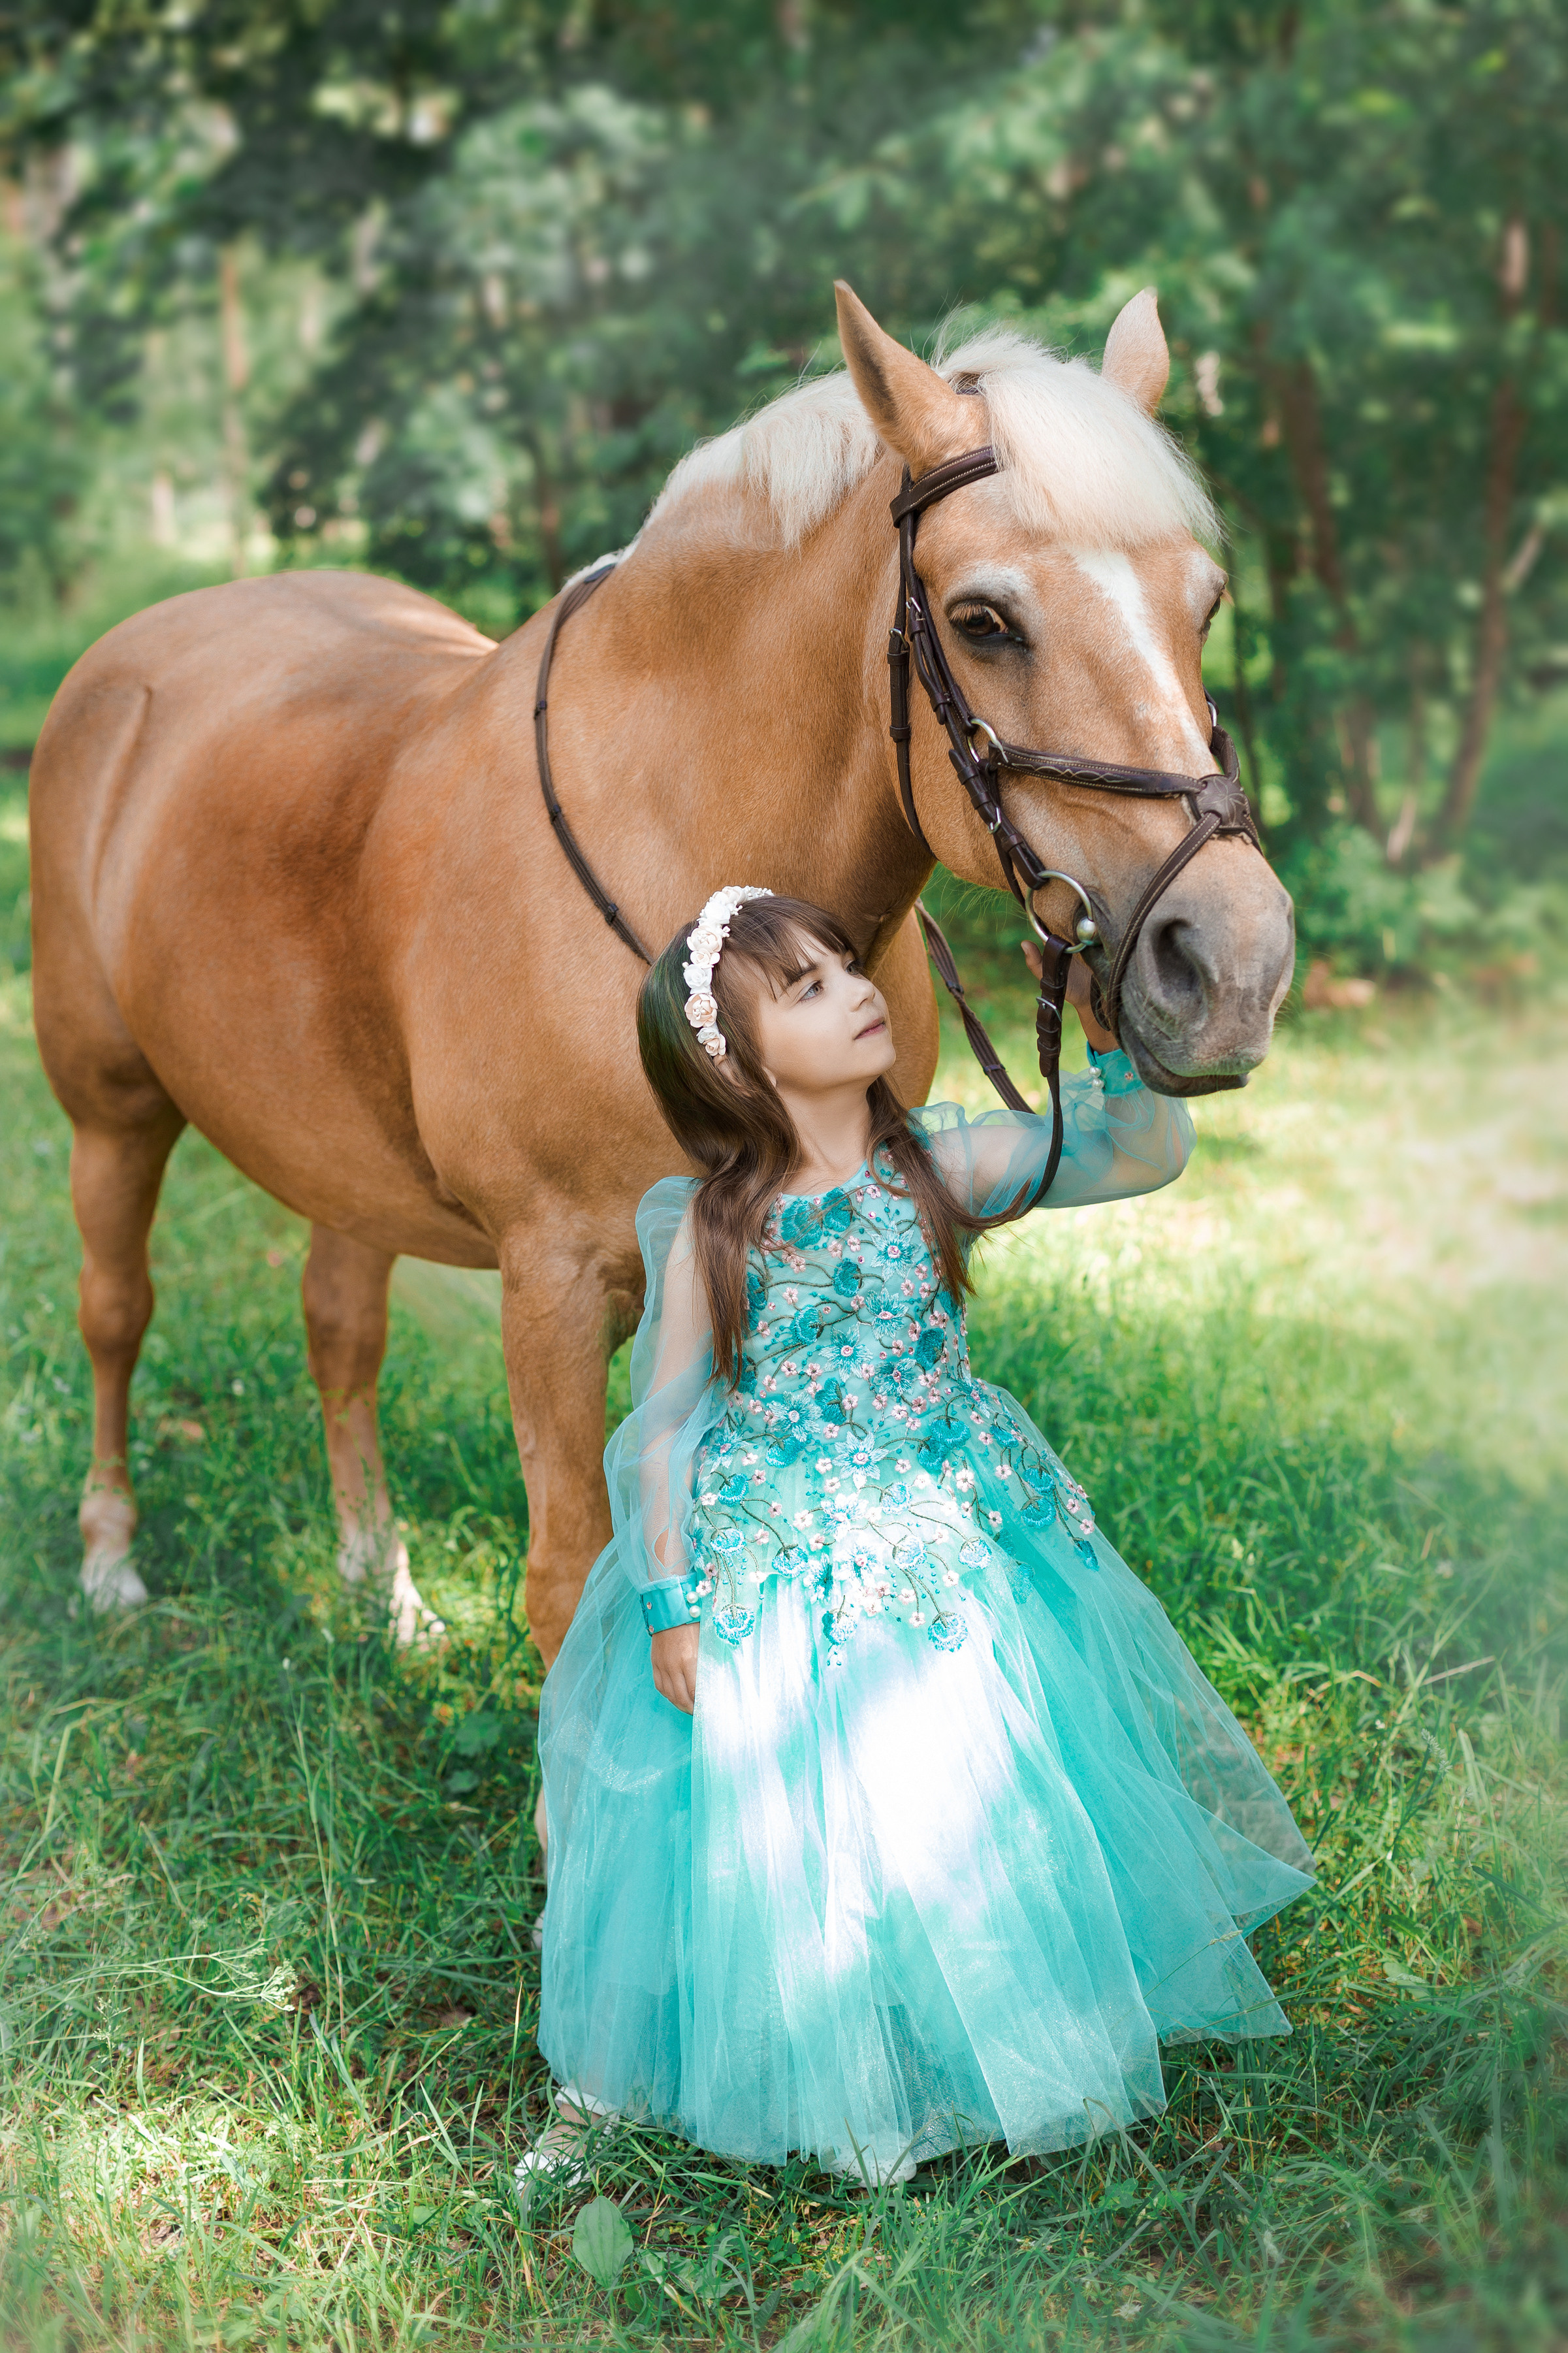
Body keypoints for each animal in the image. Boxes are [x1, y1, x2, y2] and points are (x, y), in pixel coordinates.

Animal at [29, 282, 1293, 1663]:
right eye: (982, 620)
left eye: (1204, 605)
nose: (1235, 960)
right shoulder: (555, 1282)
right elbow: (571, 1575)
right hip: (110, 1115)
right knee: (115, 1310)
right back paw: (107, 1561)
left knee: (340, 1329)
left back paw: (381, 1588)